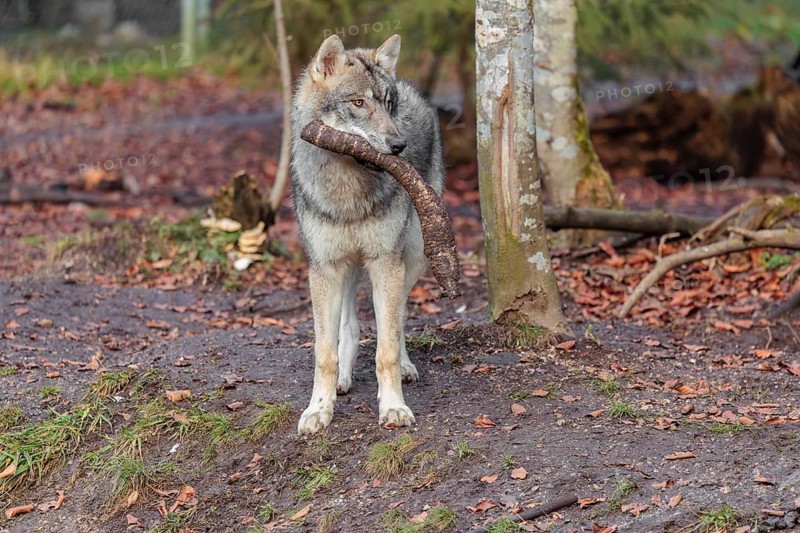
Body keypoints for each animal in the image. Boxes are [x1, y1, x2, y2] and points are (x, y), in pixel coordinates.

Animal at [290, 34, 444, 434]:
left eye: (388, 105)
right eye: (358, 103)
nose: (399, 146)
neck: (348, 193)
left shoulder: (385, 264)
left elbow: (385, 348)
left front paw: (393, 407)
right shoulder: (325, 269)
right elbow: (324, 352)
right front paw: (318, 410)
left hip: (413, 259)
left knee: (399, 318)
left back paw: (405, 366)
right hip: (345, 268)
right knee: (350, 325)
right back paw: (344, 379)